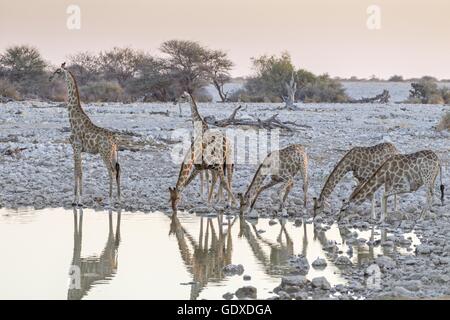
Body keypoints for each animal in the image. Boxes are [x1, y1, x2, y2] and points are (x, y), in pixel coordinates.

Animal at [50, 63, 121, 206]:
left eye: (58, 71)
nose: (50, 78)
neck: (73, 119)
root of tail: (114, 139)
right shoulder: (76, 149)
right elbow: (75, 171)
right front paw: (74, 200)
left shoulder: (76, 147)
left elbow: (79, 172)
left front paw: (79, 200)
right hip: (113, 153)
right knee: (117, 170)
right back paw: (119, 199)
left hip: (104, 152)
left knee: (111, 171)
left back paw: (110, 199)